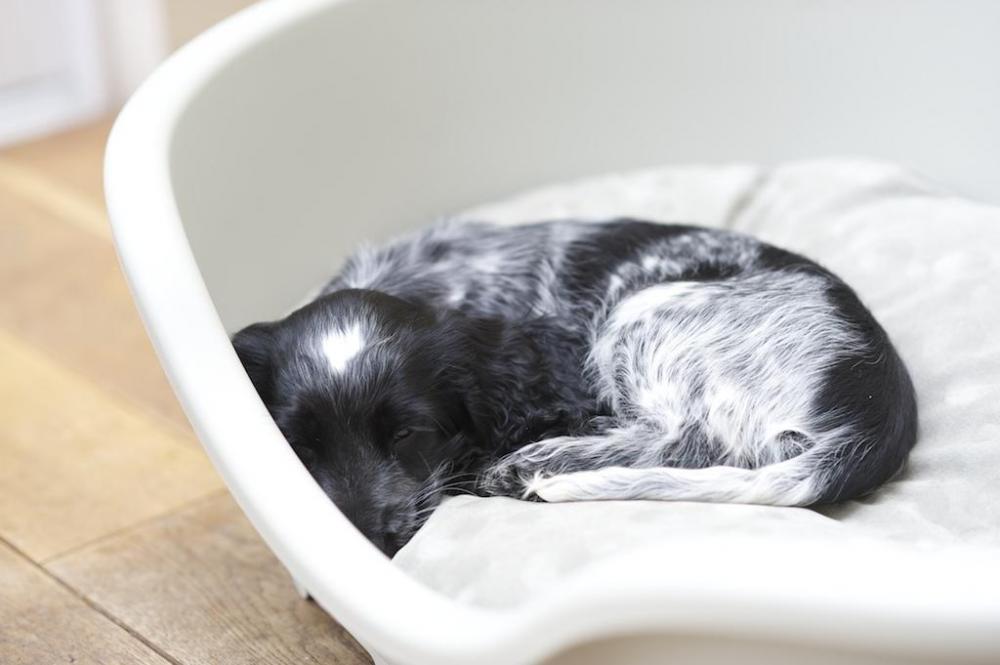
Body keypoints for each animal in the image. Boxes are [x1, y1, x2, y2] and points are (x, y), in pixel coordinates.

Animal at [232, 219, 916, 556]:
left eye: (409, 434)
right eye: (300, 446)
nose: (364, 542)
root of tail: (875, 417)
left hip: (647, 315)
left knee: (685, 440)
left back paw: (526, 466)